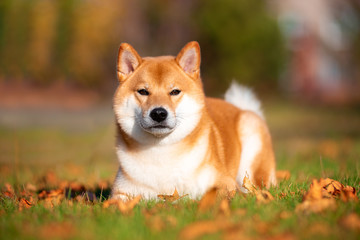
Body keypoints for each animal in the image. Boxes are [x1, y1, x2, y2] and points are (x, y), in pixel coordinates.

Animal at [111, 40, 278, 200]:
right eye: (143, 91)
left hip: (250, 140)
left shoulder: (225, 183)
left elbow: (203, 197)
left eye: (175, 91)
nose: (158, 113)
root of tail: (239, 107)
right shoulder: (121, 192)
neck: (161, 150)